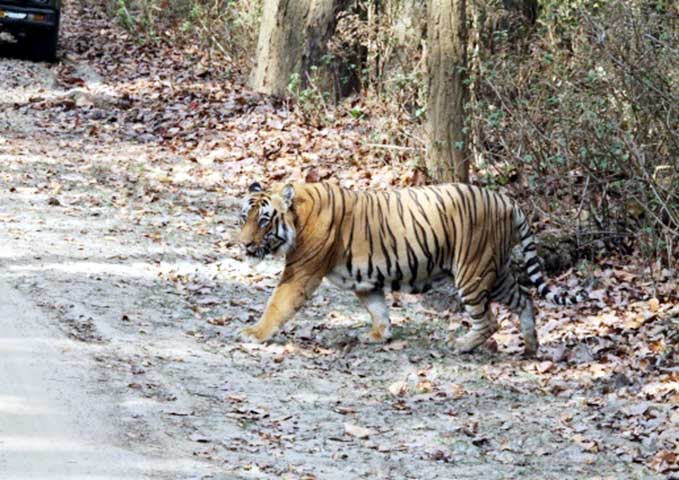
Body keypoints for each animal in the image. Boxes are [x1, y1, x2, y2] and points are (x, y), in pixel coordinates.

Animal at [238, 182, 584, 354]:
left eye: (264, 220)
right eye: (244, 217)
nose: (243, 244)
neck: (297, 218)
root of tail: (508, 202)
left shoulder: (301, 271)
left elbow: (277, 303)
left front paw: (255, 333)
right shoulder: (364, 280)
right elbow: (378, 309)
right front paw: (380, 336)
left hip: (472, 271)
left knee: (489, 320)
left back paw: (461, 346)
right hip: (496, 272)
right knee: (524, 300)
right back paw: (531, 347)